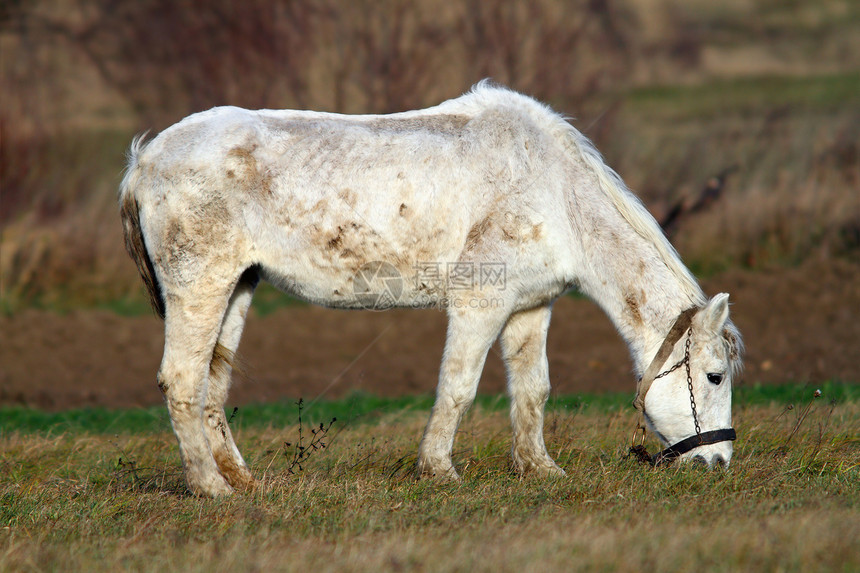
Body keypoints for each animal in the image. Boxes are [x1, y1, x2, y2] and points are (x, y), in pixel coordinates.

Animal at [119, 81, 740, 496]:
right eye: (713, 376)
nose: (719, 462)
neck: (553, 190)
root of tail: (144, 160)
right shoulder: (481, 304)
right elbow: (458, 387)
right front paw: (439, 470)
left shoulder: (531, 307)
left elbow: (533, 390)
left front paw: (538, 469)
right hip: (200, 287)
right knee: (182, 380)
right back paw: (210, 488)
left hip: (237, 289)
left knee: (212, 384)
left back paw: (242, 480)